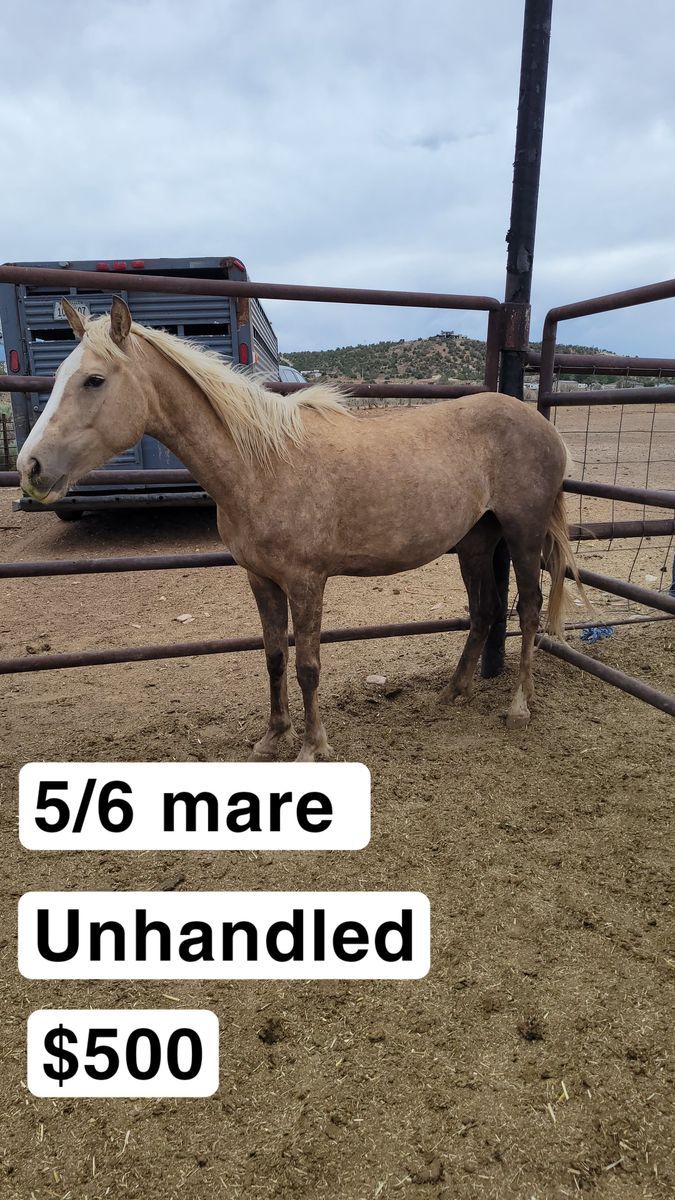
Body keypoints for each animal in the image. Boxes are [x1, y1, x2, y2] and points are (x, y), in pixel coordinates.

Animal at [17, 297, 582, 761]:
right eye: (59, 374)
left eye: (94, 379)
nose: (31, 467)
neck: (261, 464)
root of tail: (542, 423)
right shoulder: (261, 579)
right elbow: (273, 656)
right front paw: (273, 737)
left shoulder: (307, 582)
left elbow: (308, 664)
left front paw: (313, 748)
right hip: (475, 542)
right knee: (484, 611)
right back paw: (452, 693)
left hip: (523, 533)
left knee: (528, 609)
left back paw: (519, 706)